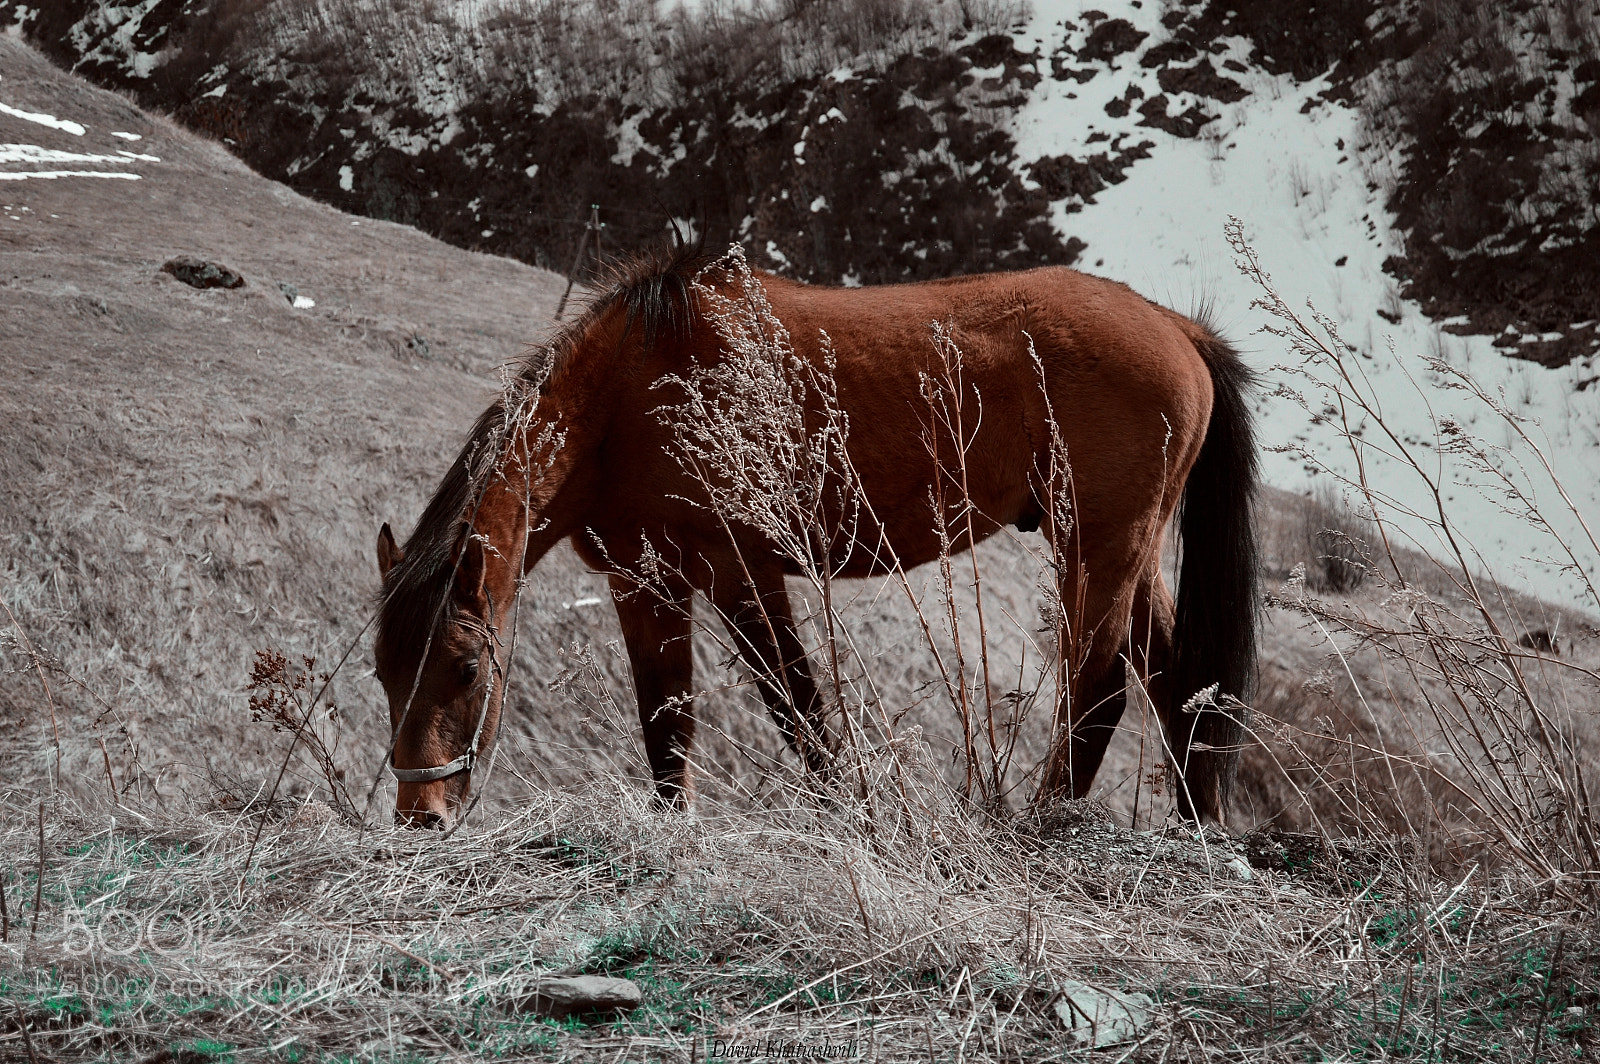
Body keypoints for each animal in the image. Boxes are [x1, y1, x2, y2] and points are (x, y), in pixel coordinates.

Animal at [372, 244, 1259, 829]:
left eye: (464, 668)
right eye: (384, 673)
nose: (422, 811)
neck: (630, 396)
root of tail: (1176, 329)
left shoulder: (741, 572)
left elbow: (797, 710)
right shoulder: (645, 583)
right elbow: (666, 723)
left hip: (1095, 543)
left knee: (1099, 683)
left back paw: (1045, 821)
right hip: (1122, 547)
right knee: (1174, 675)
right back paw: (1194, 822)